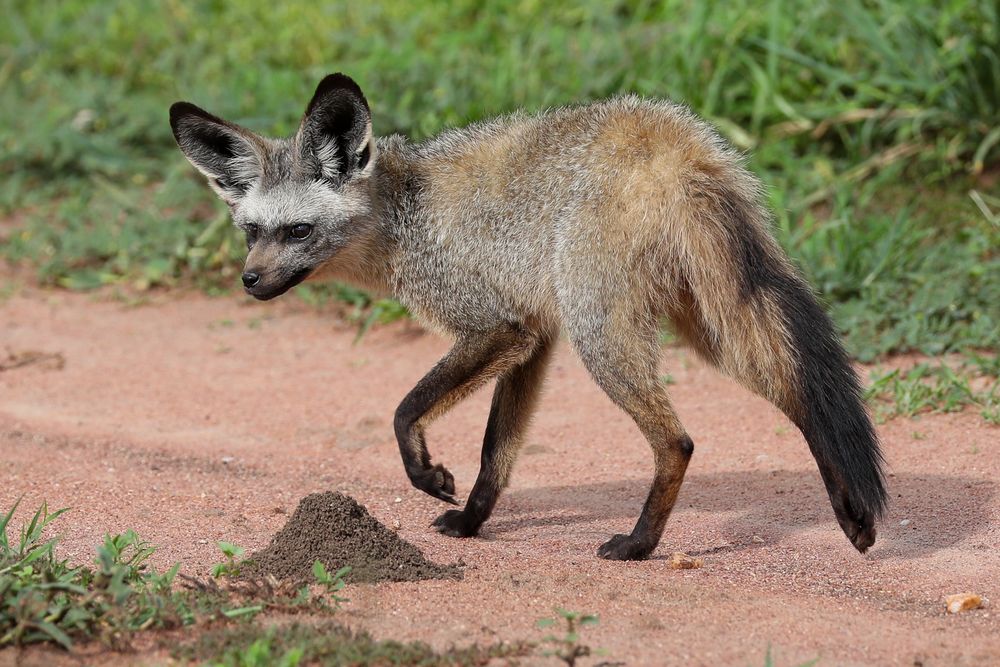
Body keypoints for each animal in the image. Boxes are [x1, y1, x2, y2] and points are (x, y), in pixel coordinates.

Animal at [168, 73, 888, 560]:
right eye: (250, 231)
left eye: (297, 231)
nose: (250, 281)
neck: (406, 214)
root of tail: (673, 139)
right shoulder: (534, 334)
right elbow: (496, 455)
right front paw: (470, 523)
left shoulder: (497, 325)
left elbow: (404, 411)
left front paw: (427, 475)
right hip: (705, 325)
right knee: (798, 390)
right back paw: (851, 512)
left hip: (605, 334)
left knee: (678, 441)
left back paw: (640, 543)